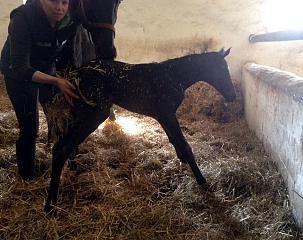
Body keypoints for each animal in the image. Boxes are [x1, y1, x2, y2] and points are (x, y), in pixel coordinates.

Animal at [44, 47, 238, 216]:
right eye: (221, 70)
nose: (232, 96)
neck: (174, 76)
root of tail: (71, 77)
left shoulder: (163, 115)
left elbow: (173, 139)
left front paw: (182, 160)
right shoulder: (167, 113)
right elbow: (185, 145)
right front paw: (203, 183)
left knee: (69, 145)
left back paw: (74, 171)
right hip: (94, 114)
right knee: (61, 147)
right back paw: (50, 206)